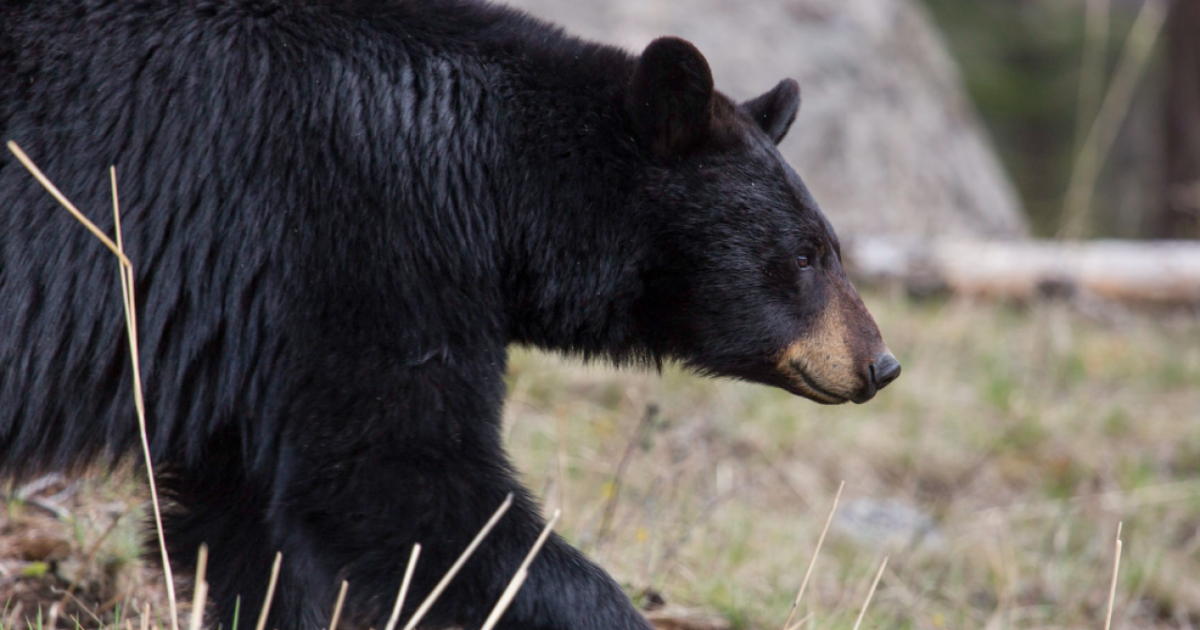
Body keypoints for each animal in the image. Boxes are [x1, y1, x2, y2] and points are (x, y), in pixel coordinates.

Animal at [0, 1, 902, 628]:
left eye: (831, 245)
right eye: (808, 254)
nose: (881, 362)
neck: (491, 178)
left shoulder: (253, 339)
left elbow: (245, 525)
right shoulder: (354, 241)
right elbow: (402, 478)